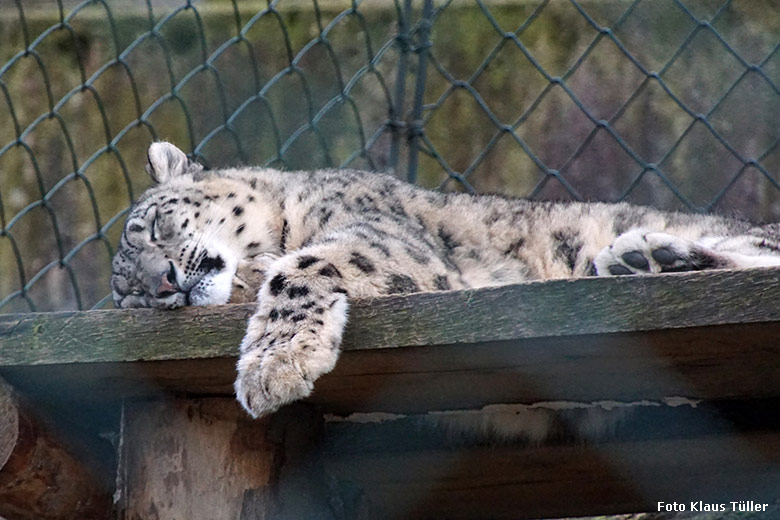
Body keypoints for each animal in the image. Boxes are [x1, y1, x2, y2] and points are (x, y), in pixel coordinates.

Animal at [111, 142, 780, 418]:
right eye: (134, 299)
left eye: (157, 226)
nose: (166, 284)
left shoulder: (384, 237)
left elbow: (299, 267)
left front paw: (271, 369)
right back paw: (643, 259)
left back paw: (646, 252)